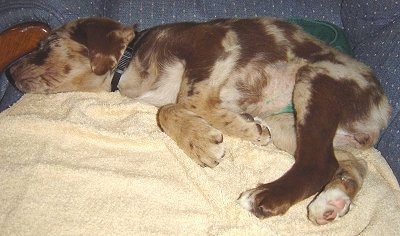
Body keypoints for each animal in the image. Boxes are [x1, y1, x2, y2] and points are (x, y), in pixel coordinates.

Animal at [7, 17, 392, 225]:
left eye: (45, 44)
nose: (8, 71)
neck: (129, 65)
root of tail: (383, 108)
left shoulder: (210, 45)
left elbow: (184, 101)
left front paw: (228, 131)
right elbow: (167, 110)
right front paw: (202, 137)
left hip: (316, 79)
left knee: (317, 163)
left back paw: (266, 196)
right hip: (291, 127)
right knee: (348, 162)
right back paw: (333, 201)